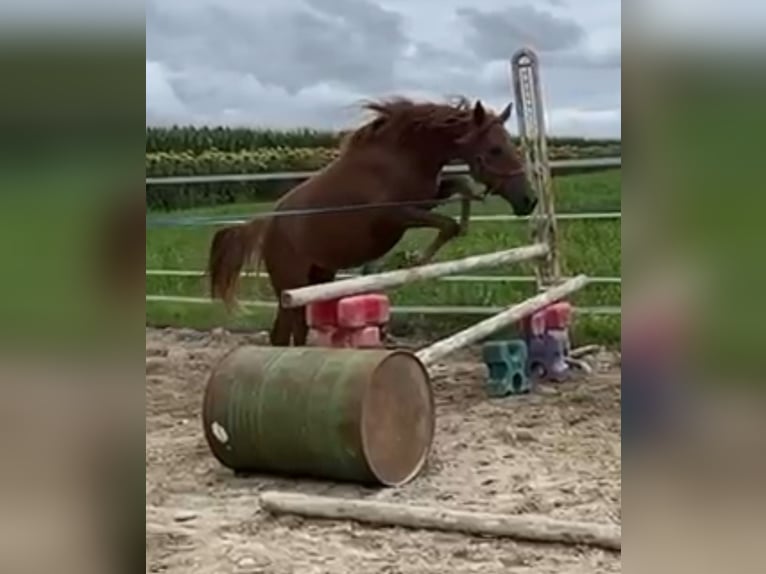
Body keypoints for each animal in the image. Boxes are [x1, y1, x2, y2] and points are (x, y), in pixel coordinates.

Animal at [207, 96, 537, 346]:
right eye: (495, 150)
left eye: (511, 145)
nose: (529, 201)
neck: (401, 156)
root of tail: (267, 224)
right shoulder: (396, 216)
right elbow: (447, 223)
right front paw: (414, 261)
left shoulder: (427, 198)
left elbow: (462, 187)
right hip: (291, 286)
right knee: (285, 334)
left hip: (319, 278)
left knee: (293, 331)